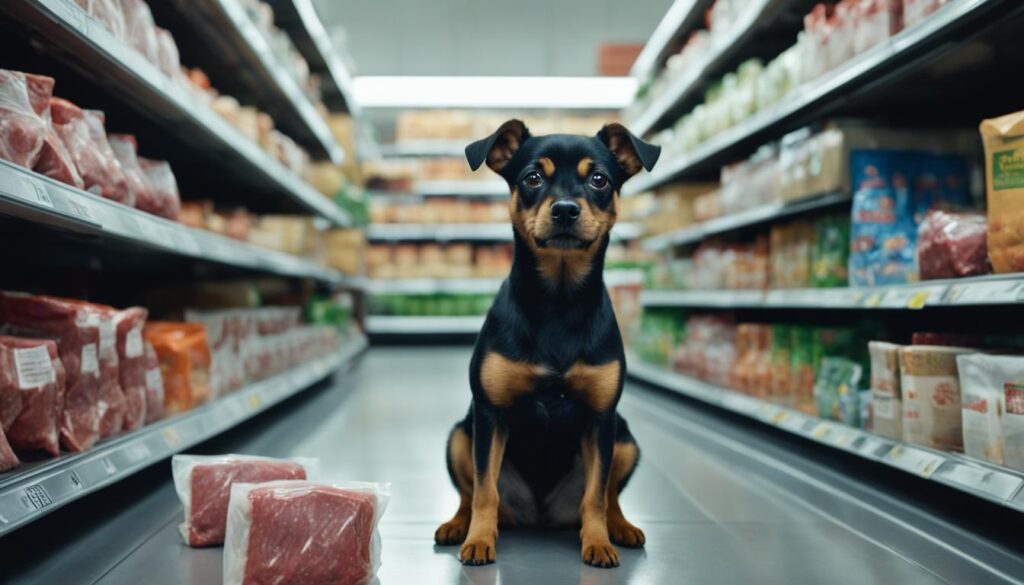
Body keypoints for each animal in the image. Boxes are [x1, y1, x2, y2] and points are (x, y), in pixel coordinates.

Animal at [434, 120, 659, 569]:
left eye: (599, 180)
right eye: (532, 178)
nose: (565, 209)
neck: (559, 297)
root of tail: (540, 515)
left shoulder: (601, 419)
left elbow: (596, 493)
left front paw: (598, 542)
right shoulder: (489, 414)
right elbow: (484, 489)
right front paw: (479, 540)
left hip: (625, 439)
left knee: (609, 494)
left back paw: (620, 527)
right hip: (460, 436)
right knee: (469, 492)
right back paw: (458, 525)